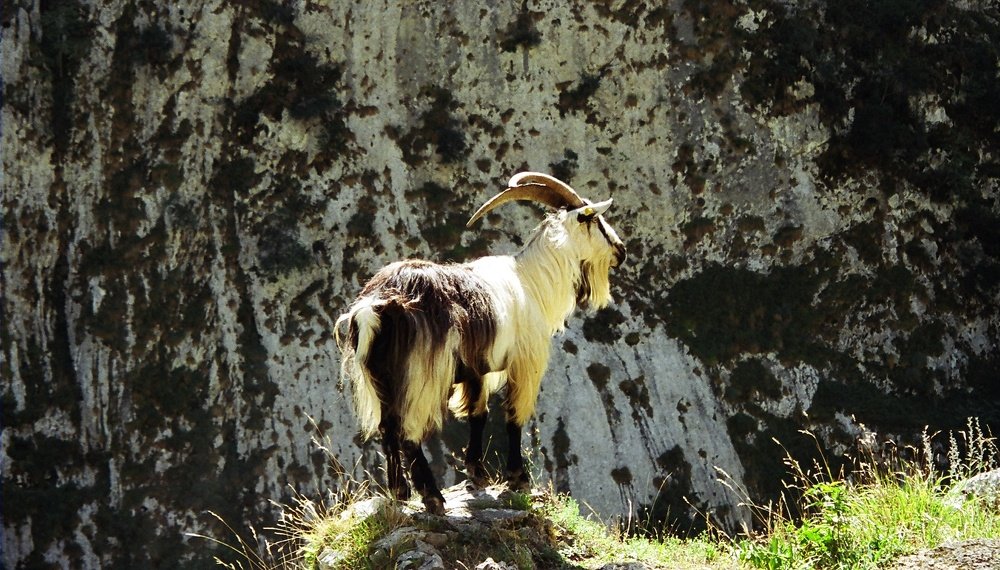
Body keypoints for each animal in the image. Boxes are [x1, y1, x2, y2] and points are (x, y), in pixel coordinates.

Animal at [335, 172, 626, 514]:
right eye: (597, 221)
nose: (621, 250)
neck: (531, 282)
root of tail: (375, 305)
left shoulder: (476, 370)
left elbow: (478, 414)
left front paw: (477, 473)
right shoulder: (525, 362)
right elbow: (514, 416)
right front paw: (517, 478)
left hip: (381, 377)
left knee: (387, 426)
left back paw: (400, 492)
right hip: (422, 375)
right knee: (407, 431)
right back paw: (432, 497)